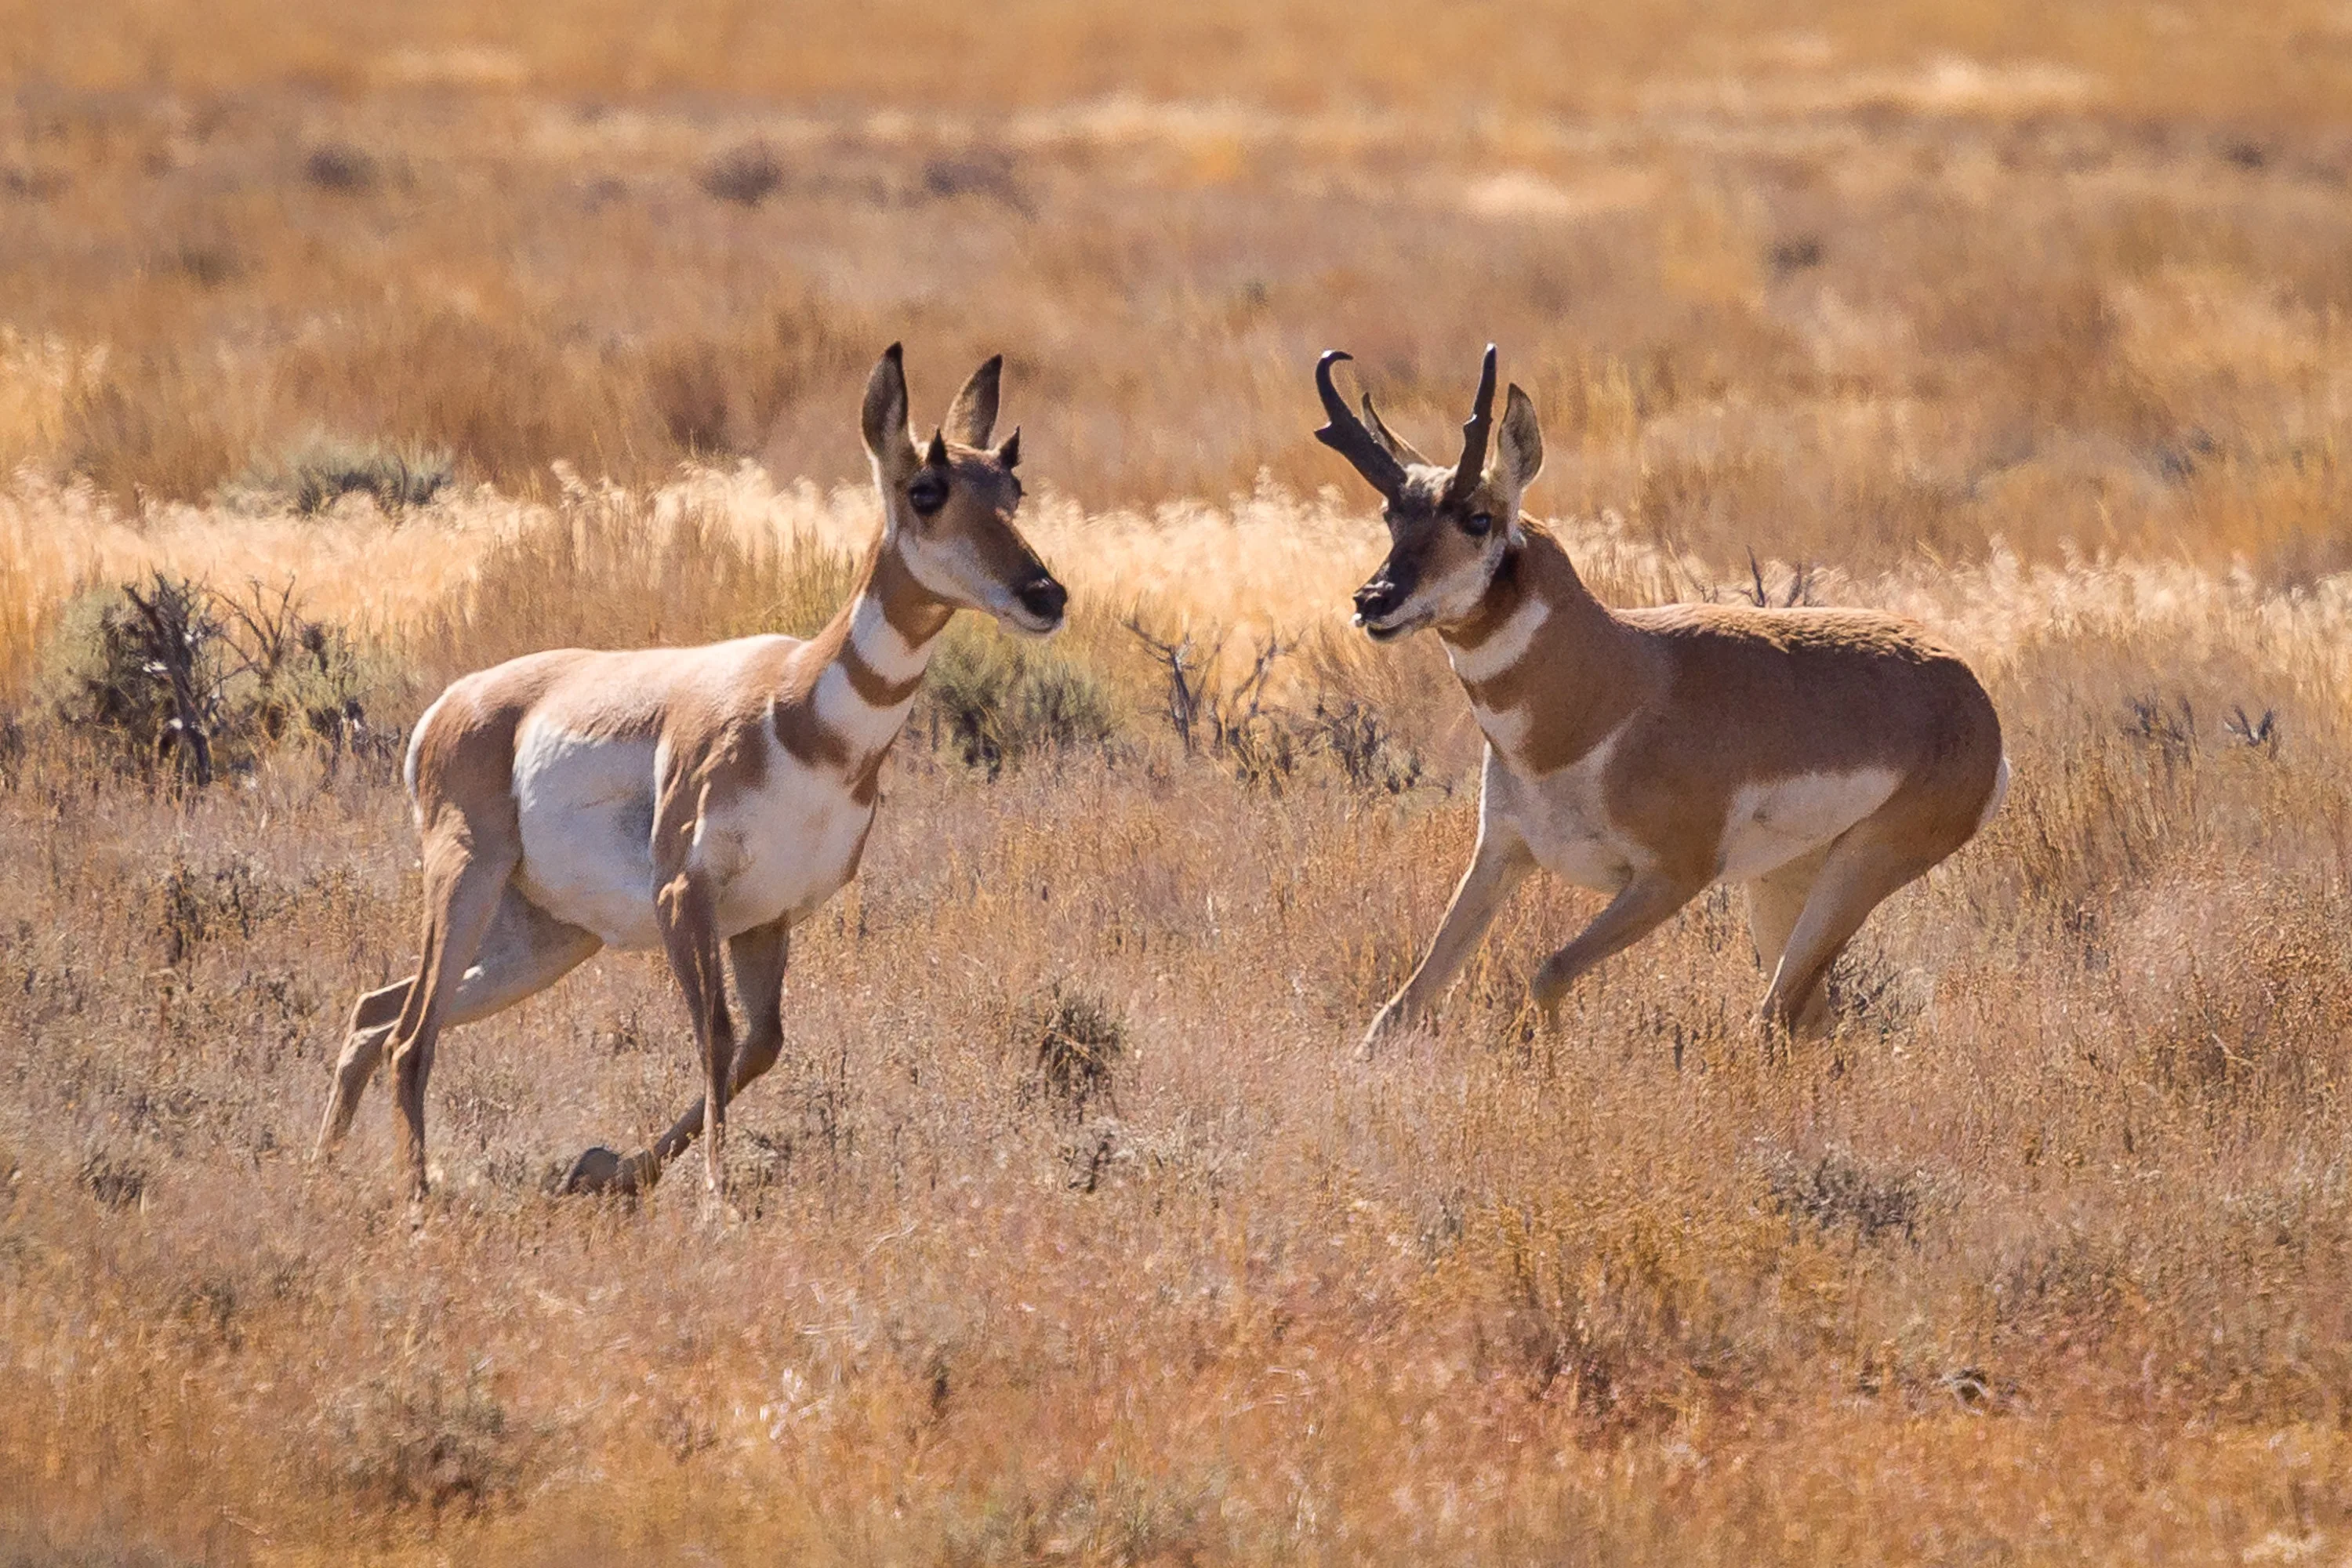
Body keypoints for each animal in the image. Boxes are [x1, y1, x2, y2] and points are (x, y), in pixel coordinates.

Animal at [315, 345, 1066, 1201]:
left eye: (1013, 488)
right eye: (928, 489)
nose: (1047, 595)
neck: (797, 708)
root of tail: (452, 705)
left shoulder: (766, 918)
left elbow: (761, 1045)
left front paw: (607, 1170)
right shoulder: (684, 896)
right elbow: (716, 1035)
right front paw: (715, 1197)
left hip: (545, 940)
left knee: (377, 1012)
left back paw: (322, 1172)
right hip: (468, 882)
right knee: (410, 1034)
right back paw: (415, 1199)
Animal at [1314, 346, 2007, 1053]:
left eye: (1478, 518)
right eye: (1392, 515)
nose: (1373, 600)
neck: (1607, 694)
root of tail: (1966, 688)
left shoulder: (1670, 880)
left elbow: (1550, 971)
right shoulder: (1500, 857)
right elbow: (1406, 1001)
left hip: (1860, 870)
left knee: (1773, 1016)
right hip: (1781, 882)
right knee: (1807, 1021)